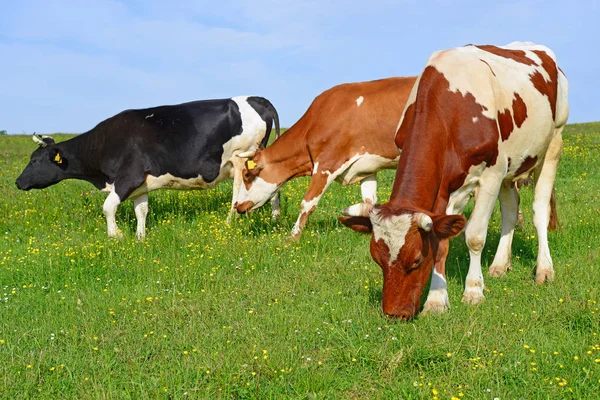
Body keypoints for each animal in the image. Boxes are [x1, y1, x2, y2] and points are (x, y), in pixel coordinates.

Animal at [14, 96, 282, 241]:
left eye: (35, 160)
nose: (18, 182)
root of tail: (255, 98)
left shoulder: (128, 178)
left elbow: (108, 207)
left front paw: (116, 235)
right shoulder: (140, 185)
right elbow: (141, 211)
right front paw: (140, 237)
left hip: (240, 157)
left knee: (238, 192)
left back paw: (229, 222)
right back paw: (275, 218)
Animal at [234, 77, 418, 239]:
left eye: (247, 175)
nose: (237, 206)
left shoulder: (326, 165)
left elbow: (307, 203)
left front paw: (292, 238)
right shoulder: (367, 167)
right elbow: (369, 203)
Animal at [340, 41, 568, 318]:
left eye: (416, 259)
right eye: (377, 259)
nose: (393, 314)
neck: (449, 106)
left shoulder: (491, 174)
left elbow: (475, 236)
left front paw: (473, 291)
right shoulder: (447, 186)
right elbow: (441, 241)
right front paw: (436, 300)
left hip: (553, 144)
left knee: (540, 210)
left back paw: (544, 269)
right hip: (511, 164)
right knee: (511, 209)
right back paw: (500, 265)